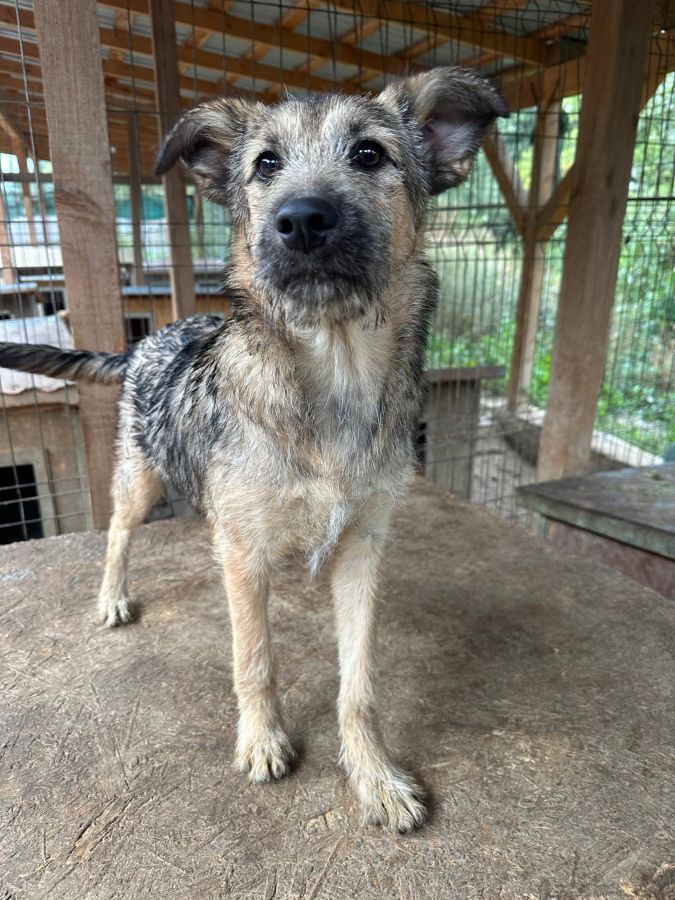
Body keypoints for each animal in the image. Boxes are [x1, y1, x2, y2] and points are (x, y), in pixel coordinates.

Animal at [0, 67, 507, 832]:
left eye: (368, 154)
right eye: (265, 164)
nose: (301, 220)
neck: (333, 376)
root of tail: (146, 340)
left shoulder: (362, 548)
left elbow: (359, 682)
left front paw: (374, 776)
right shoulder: (244, 554)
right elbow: (255, 658)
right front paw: (263, 740)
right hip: (142, 479)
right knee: (117, 532)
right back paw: (113, 596)